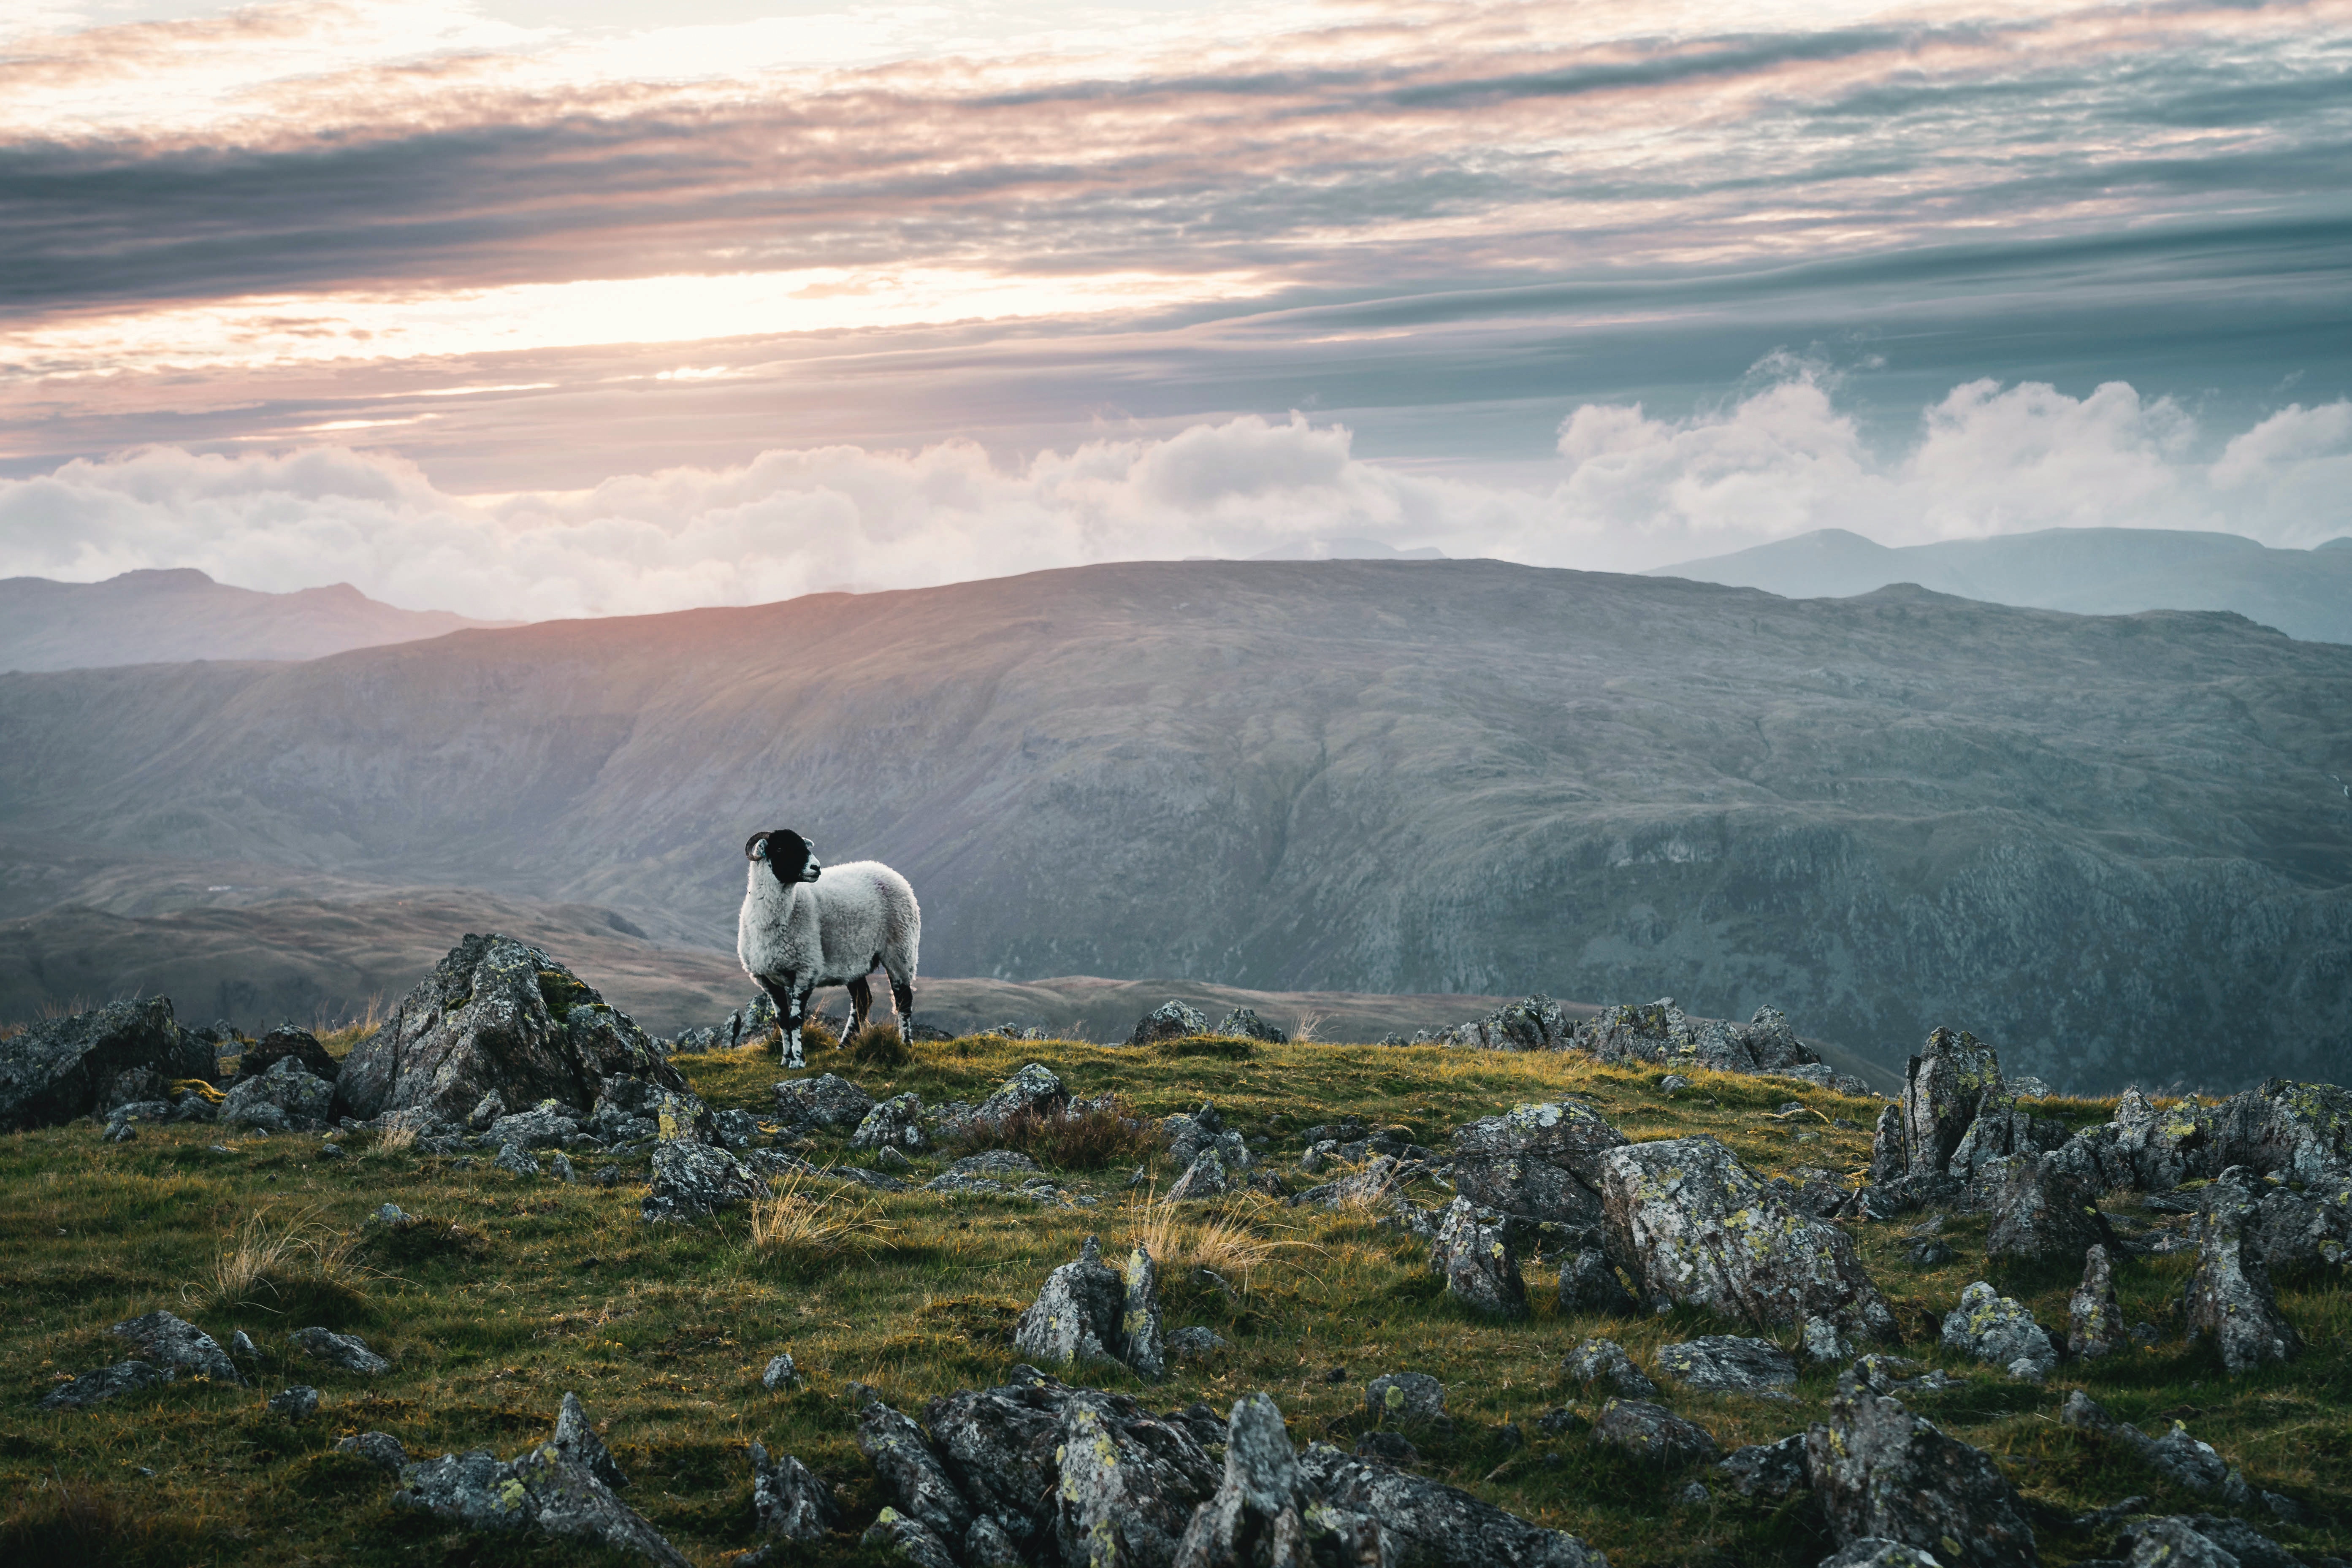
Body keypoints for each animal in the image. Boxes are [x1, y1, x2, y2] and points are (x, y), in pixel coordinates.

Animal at [738, 832, 922, 1067]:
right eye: (780, 849)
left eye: (804, 846)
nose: (816, 868)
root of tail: (889, 871)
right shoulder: (766, 979)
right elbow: (782, 1021)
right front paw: (785, 1059)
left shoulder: (806, 970)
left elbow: (796, 1020)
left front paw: (798, 1061)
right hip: (853, 960)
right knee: (863, 1000)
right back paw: (844, 1045)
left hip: (900, 949)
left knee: (903, 1000)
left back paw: (905, 1044)